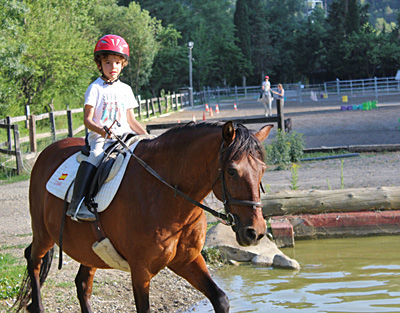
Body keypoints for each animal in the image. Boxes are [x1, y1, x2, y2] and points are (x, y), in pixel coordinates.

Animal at [14, 121, 274, 312]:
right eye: (231, 171)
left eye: (262, 170)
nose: (256, 232)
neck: (167, 194)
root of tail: (47, 152)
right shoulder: (141, 270)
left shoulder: (187, 259)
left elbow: (220, 299)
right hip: (43, 234)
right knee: (33, 260)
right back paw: (36, 306)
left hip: (89, 249)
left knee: (82, 284)